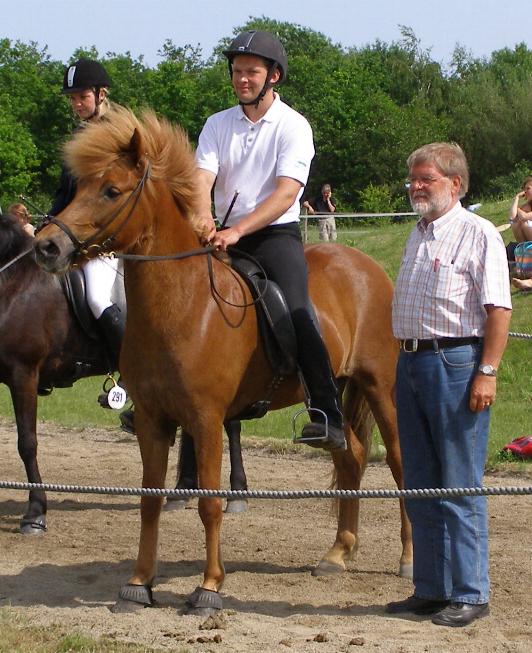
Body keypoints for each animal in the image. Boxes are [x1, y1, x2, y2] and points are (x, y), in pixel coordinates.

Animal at [35, 105, 414, 612]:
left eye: (112, 190)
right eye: (77, 188)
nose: (47, 246)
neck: (183, 303)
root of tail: (368, 267)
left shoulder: (207, 419)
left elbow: (209, 502)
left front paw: (209, 587)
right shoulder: (153, 421)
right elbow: (150, 501)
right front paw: (139, 583)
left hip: (381, 388)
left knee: (399, 464)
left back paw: (408, 560)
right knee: (350, 455)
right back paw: (337, 553)